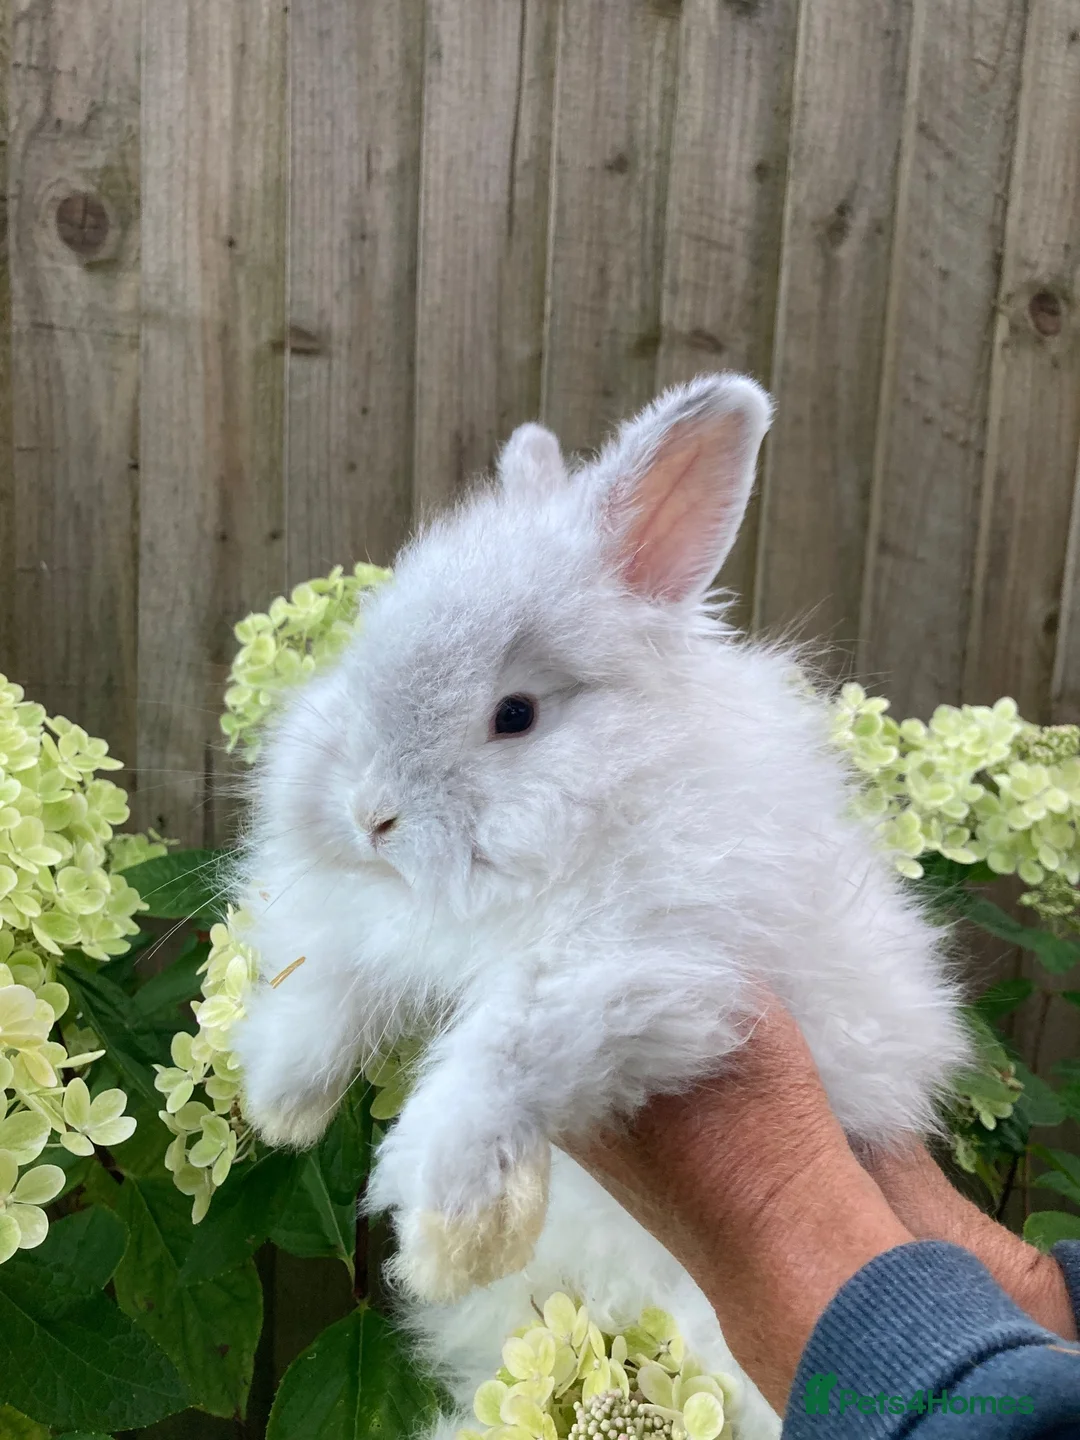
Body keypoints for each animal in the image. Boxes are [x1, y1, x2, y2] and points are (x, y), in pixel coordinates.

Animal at [232, 373, 970, 1434]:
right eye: (358, 662)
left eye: (515, 716)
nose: (370, 815)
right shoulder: (378, 931)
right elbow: (329, 986)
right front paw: (282, 1101)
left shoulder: (643, 970)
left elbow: (507, 1052)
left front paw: (454, 1232)